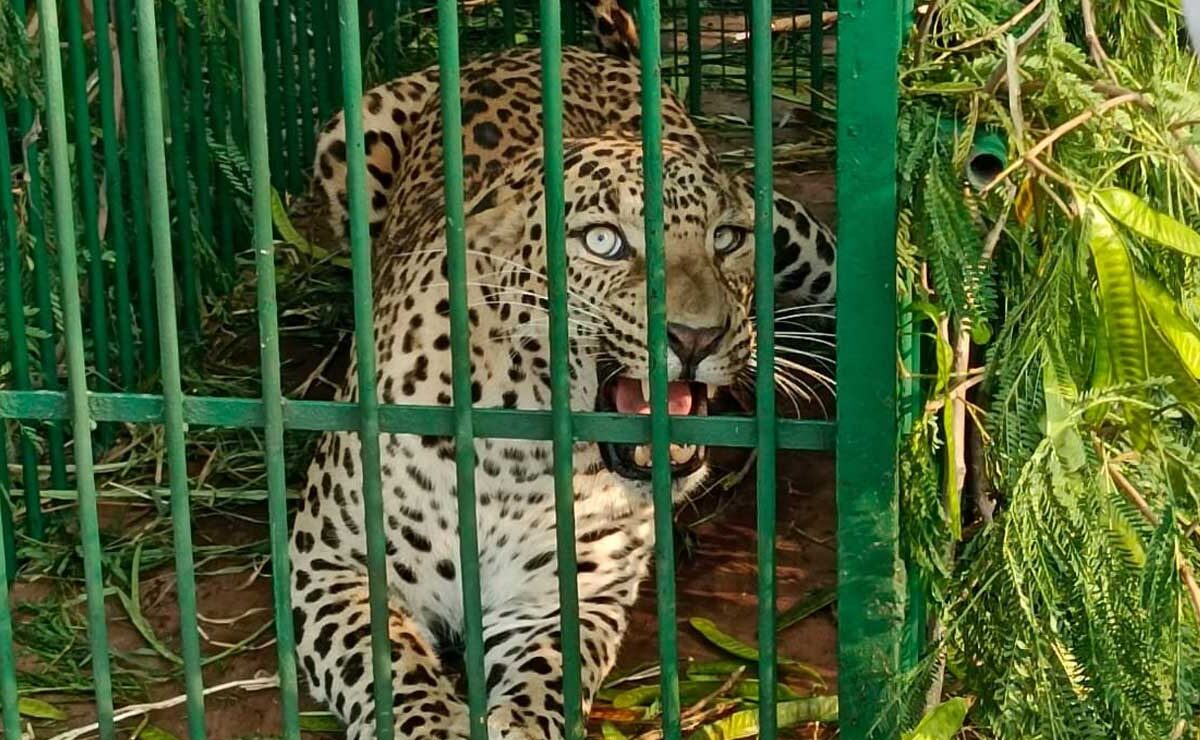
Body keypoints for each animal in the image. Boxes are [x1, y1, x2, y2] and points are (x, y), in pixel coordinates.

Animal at [289, 3, 835, 738]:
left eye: (726, 239)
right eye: (603, 242)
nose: (697, 336)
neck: (515, 453)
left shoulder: (565, 593)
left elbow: (545, 674)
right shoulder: (333, 562)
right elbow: (388, 666)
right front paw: (431, 722)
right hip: (349, 131)